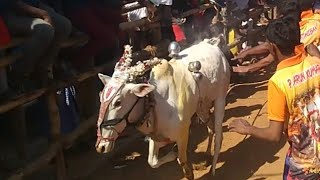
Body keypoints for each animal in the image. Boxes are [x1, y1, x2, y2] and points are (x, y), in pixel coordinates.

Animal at [95, 39, 230, 179]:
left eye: (118, 102)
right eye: (101, 98)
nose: (102, 146)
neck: (157, 105)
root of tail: (211, 44)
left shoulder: (183, 133)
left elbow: (182, 160)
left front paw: (182, 162)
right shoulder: (156, 137)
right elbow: (152, 162)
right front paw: (173, 153)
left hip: (220, 99)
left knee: (219, 133)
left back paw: (213, 169)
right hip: (202, 106)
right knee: (211, 127)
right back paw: (207, 156)